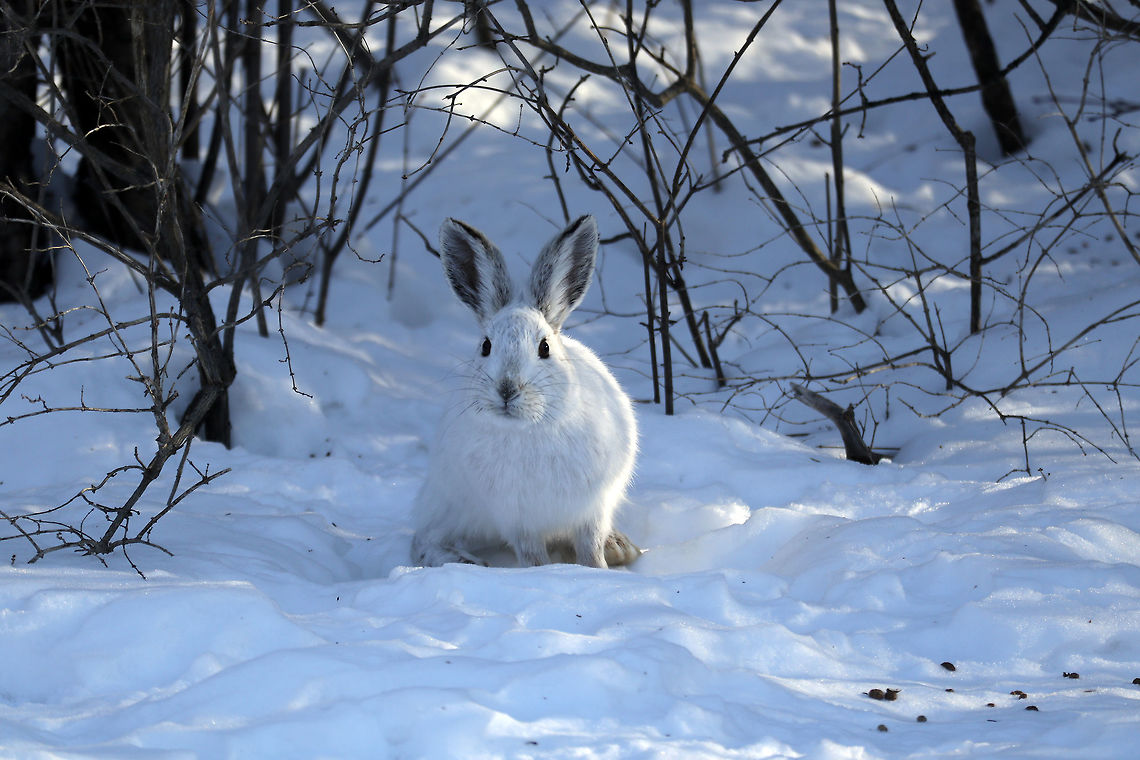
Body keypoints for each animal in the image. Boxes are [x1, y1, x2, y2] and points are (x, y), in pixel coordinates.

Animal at [411, 215, 639, 568]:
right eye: (486, 346)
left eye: (544, 347)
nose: (507, 390)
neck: (530, 427)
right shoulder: (518, 519)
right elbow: (532, 555)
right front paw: (542, 573)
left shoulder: (593, 508)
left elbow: (590, 546)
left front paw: (598, 570)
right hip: (450, 503)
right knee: (424, 539)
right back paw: (463, 561)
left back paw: (619, 547)